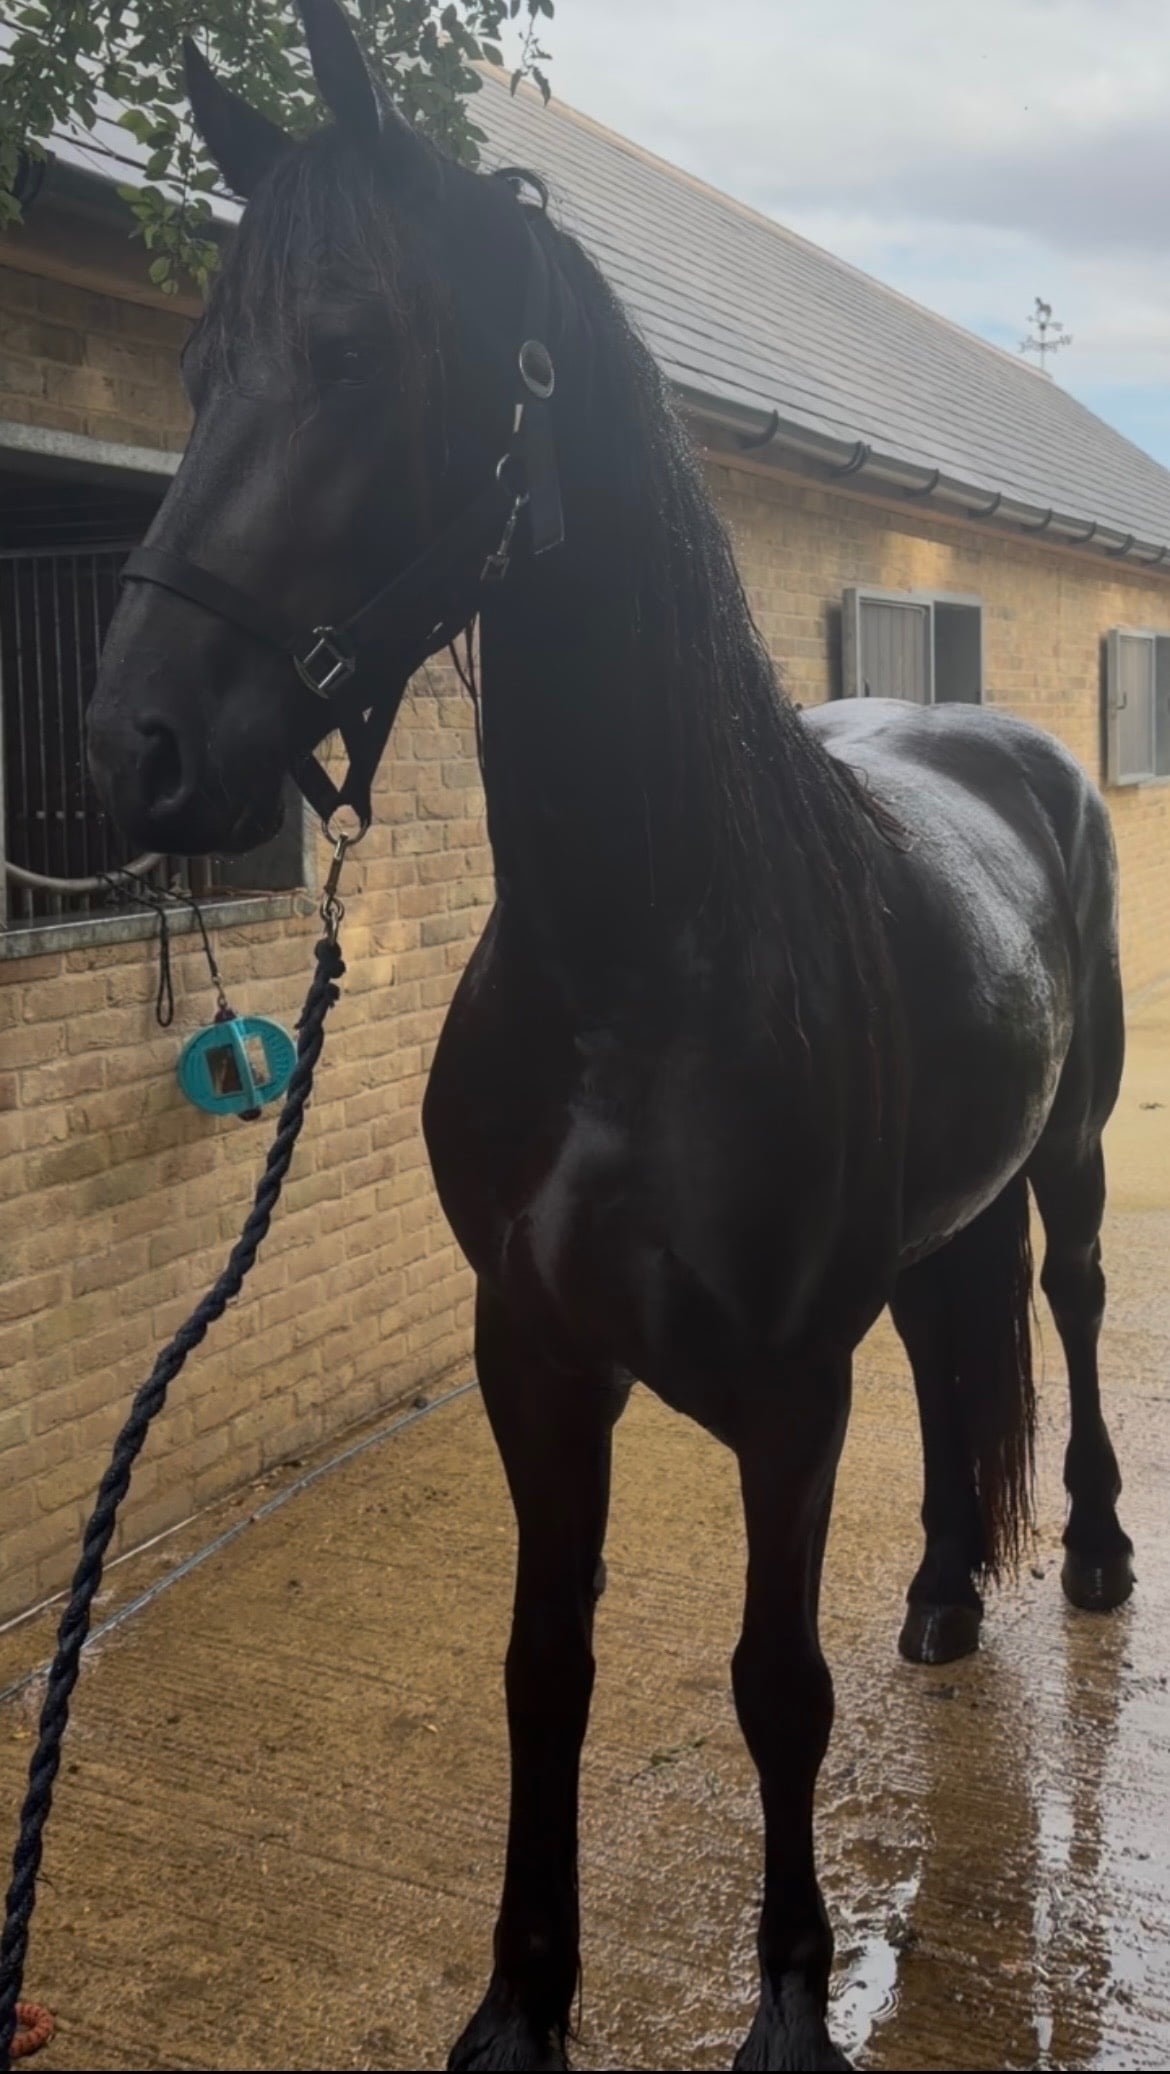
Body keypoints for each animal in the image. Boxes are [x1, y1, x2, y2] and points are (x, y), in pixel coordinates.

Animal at [85, 4, 1134, 2066]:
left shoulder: (789, 1393)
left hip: (1069, 1156)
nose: (135, 745)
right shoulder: (536, 1357)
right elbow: (541, 1664)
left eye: (351, 350)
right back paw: (945, 1590)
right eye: (196, 364)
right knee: (956, 1343)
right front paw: (518, 2000)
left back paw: (1105, 1553)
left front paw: (791, 2002)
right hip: (937, 1215)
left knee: (1067, 1301)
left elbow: (775, 1680)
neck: (639, 969)